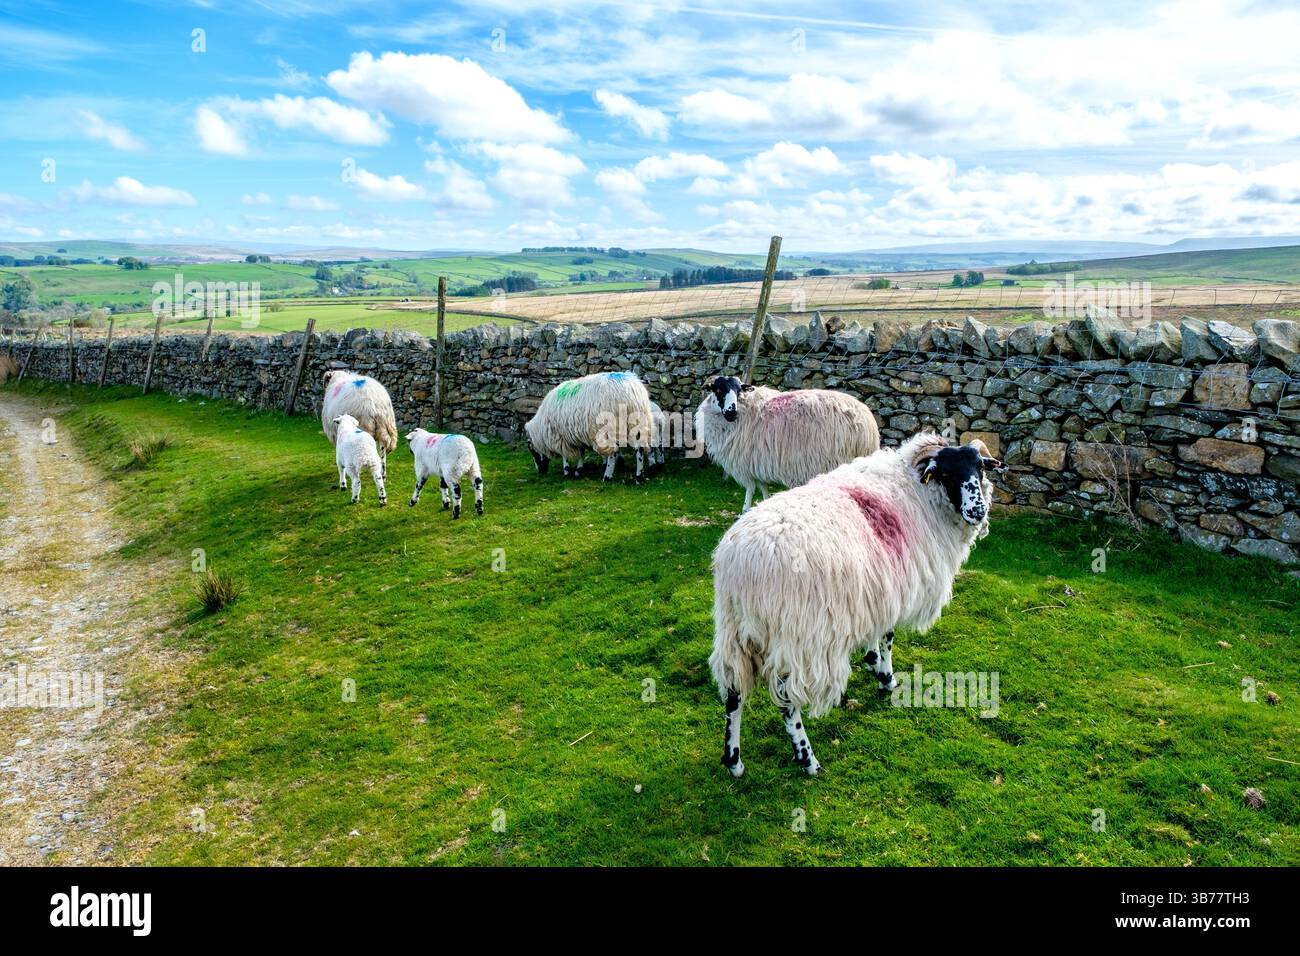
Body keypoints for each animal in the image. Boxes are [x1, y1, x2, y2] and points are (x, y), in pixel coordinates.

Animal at [524, 371, 654, 482]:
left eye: (532, 451)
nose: (540, 471)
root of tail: (633, 392)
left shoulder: (561, 436)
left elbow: (566, 455)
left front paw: (568, 471)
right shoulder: (576, 433)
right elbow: (581, 452)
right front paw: (579, 470)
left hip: (610, 426)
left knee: (614, 452)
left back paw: (607, 477)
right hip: (635, 425)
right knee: (639, 449)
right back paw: (639, 477)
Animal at [695, 375, 880, 511]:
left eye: (738, 390)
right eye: (718, 389)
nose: (731, 412)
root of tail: (867, 424)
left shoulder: (745, 461)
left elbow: (750, 489)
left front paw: (744, 510)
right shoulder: (757, 460)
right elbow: (762, 486)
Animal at [709, 432, 1001, 776]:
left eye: (980, 467)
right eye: (946, 473)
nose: (977, 511)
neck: (915, 489)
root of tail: (742, 565)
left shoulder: (873, 590)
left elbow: (875, 637)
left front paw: (872, 661)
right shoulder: (893, 590)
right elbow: (888, 637)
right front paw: (887, 679)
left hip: (735, 632)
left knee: (733, 693)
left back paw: (734, 760)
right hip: (799, 639)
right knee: (787, 701)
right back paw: (807, 759)